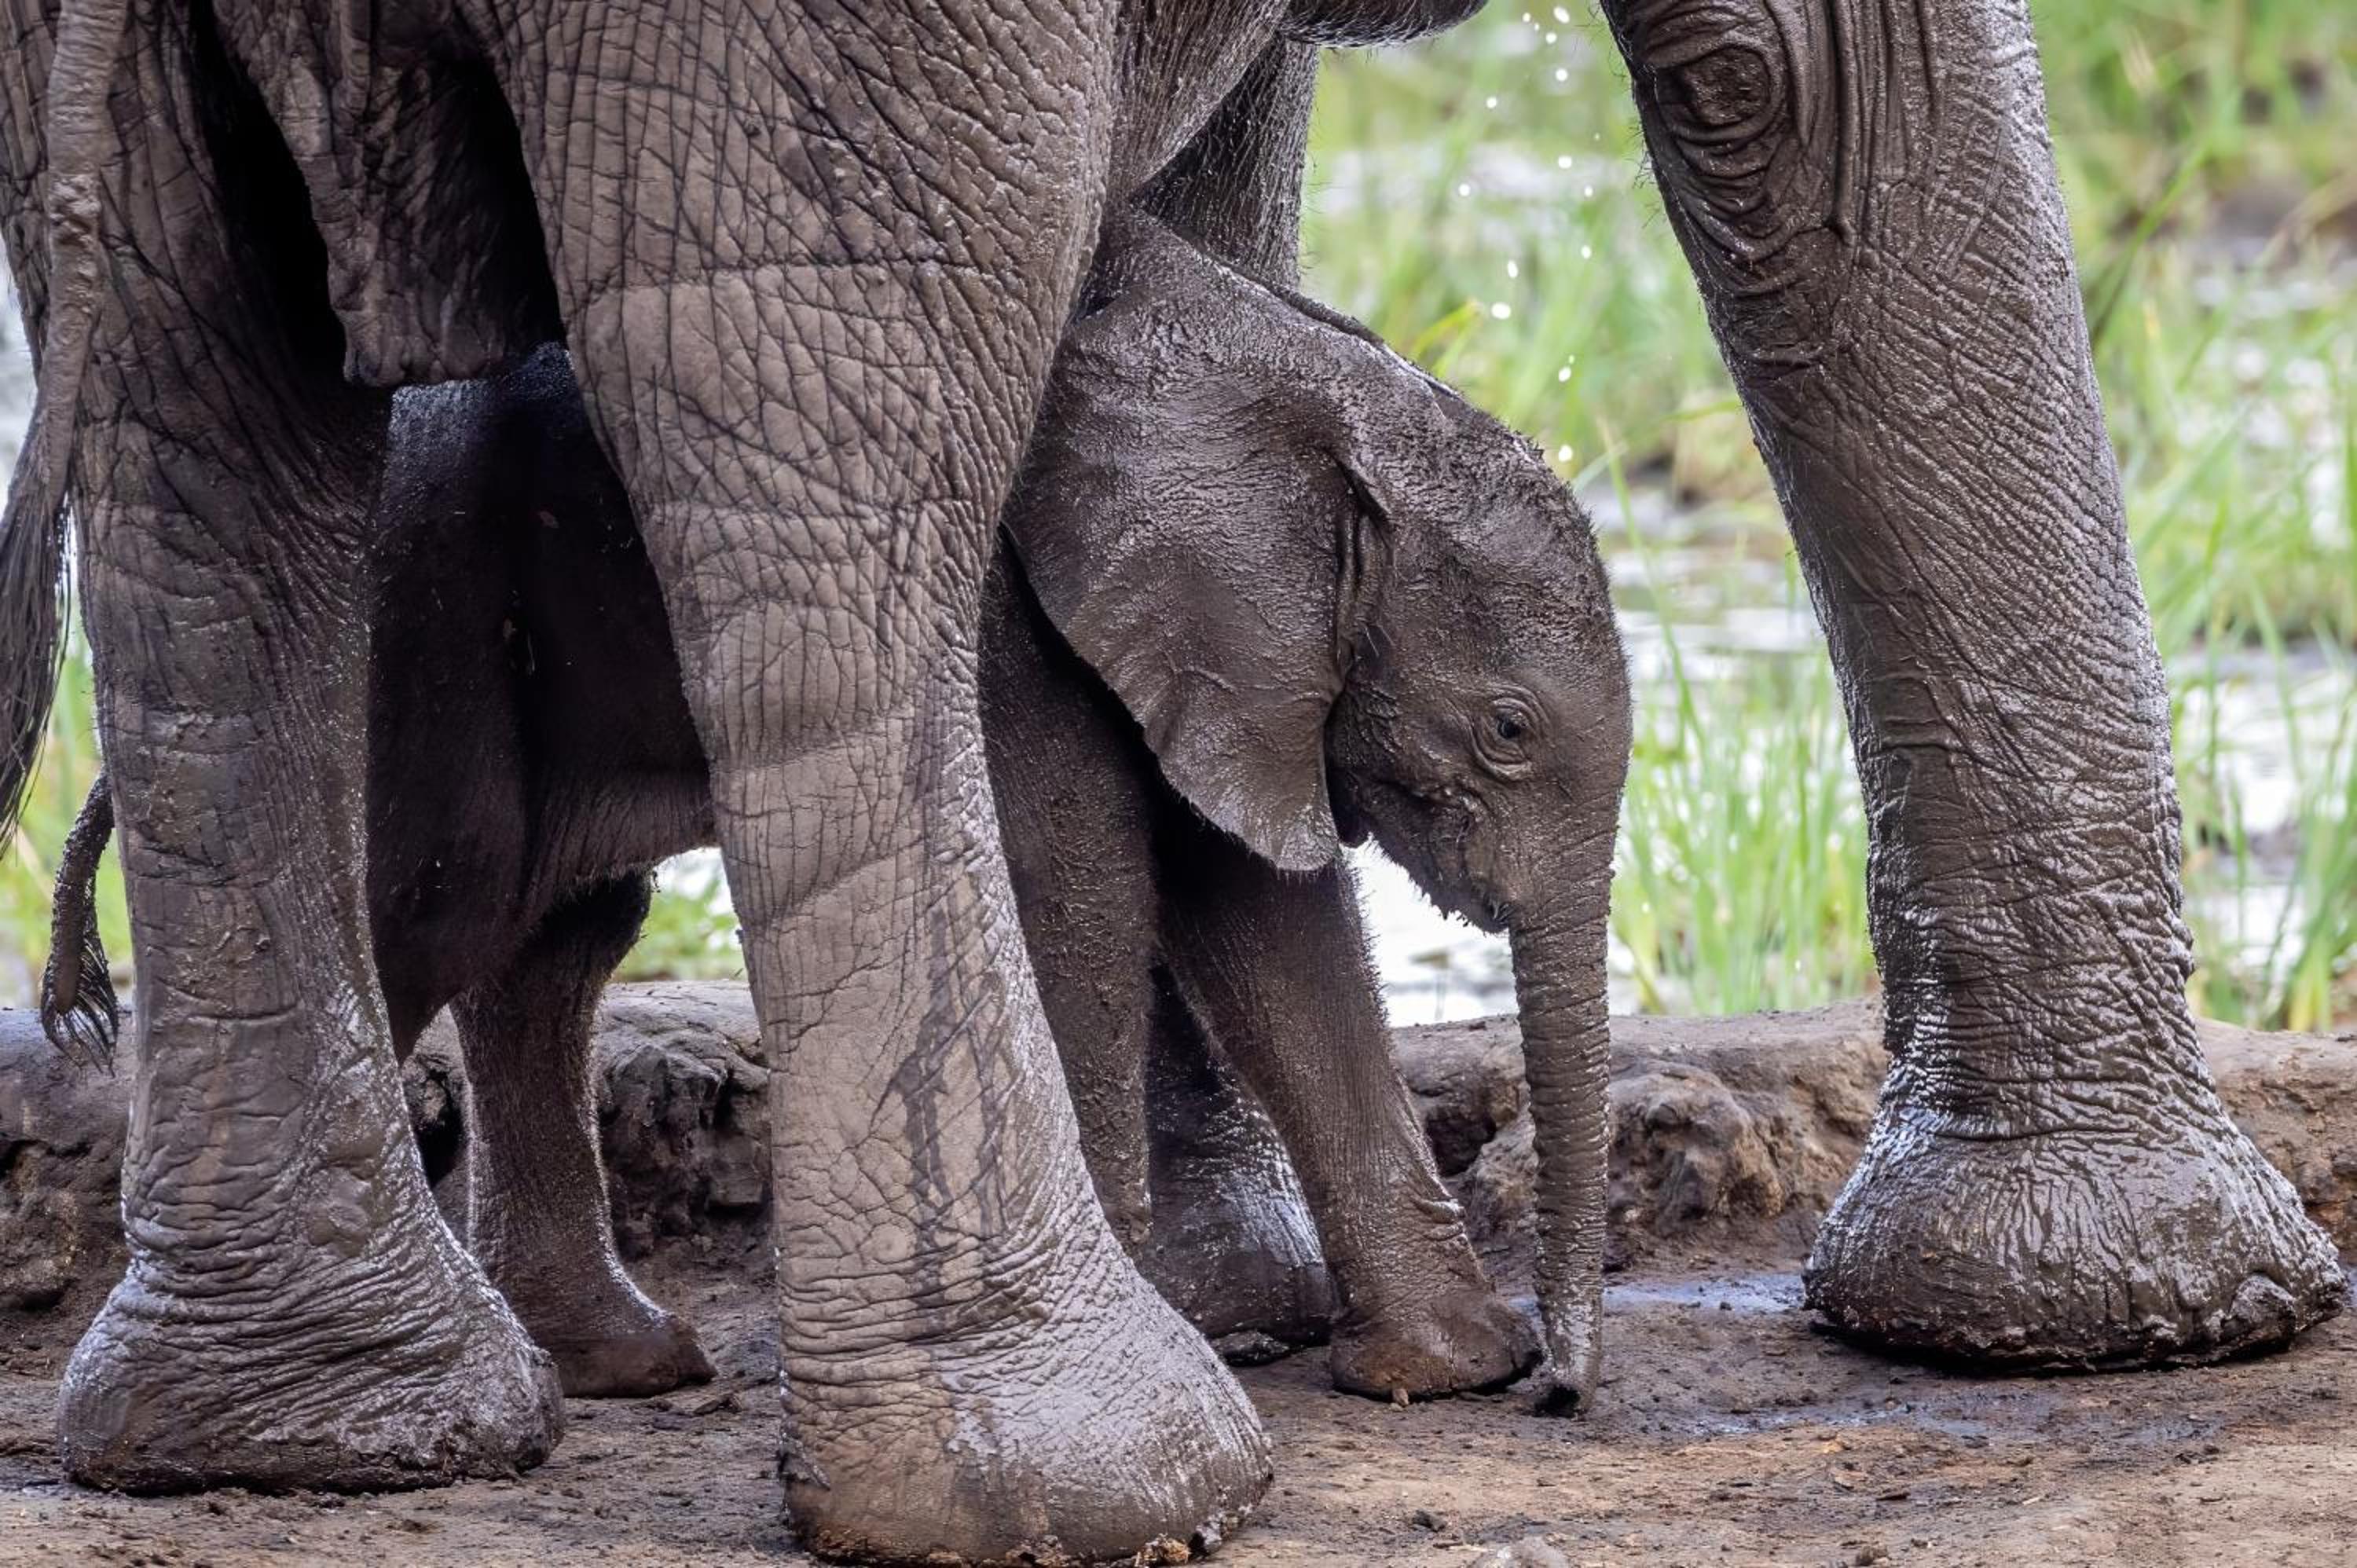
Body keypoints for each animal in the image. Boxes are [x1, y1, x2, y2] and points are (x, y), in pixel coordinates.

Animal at [0, 0, 2344, 1561]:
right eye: (1505, 737)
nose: (1574, 1384)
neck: (1328, 413)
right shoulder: (1059, 623)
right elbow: (1101, 863)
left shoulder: (1254, 658)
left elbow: (1259, 891)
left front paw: (1433, 1367)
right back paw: (1070, 1462)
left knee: (242, 475)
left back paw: (498, 1394)